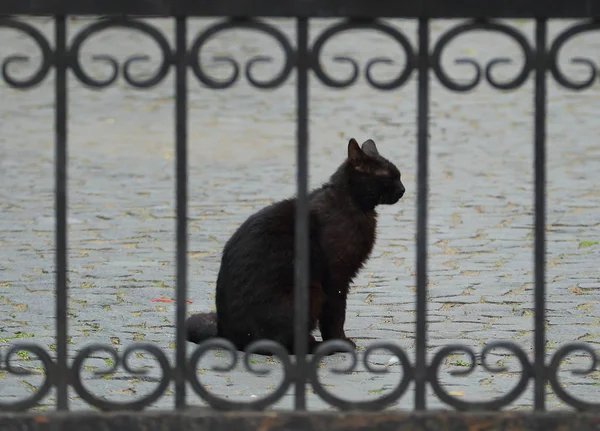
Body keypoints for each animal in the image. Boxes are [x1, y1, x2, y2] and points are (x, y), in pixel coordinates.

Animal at [185, 138, 406, 354]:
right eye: (389, 177)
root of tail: (224, 334)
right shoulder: (336, 278)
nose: (403, 189)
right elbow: (335, 315)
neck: (350, 202)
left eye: (399, 175)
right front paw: (339, 342)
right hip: (310, 292)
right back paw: (318, 347)